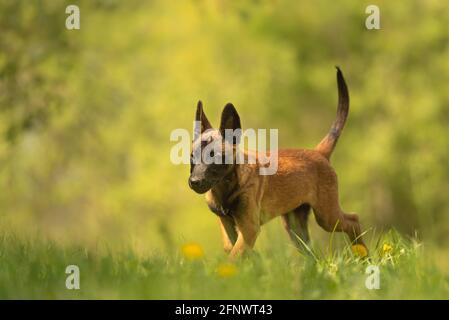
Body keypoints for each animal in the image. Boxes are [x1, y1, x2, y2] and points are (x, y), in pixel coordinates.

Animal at [187, 67, 366, 258]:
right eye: (192, 157)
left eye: (215, 157)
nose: (194, 182)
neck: (226, 187)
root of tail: (319, 153)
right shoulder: (228, 224)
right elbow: (232, 248)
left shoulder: (249, 228)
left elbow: (234, 255)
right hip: (295, 226)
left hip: (326, 215)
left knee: (353, 220)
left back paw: (364, 257)